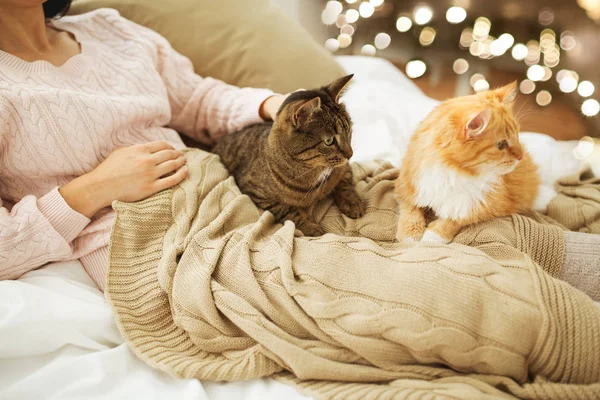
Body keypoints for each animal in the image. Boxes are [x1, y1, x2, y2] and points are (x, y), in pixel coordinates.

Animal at [216, 74, 366, 236]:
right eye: (329, 141)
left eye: (349, 131)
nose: (350, 154)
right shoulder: (255, 193)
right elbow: (287, 210)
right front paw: (311, 226)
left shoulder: (344, 168)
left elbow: (345, 183)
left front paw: (353, 203)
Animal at [396, 81, 540, 244]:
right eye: (501, 144)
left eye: (517, 136)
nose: (520, 156)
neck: (454, 173)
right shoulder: (406, 188)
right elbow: (411, 212)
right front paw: (410, 236)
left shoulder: (477, 207)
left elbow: (451, 222)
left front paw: (431, 238)